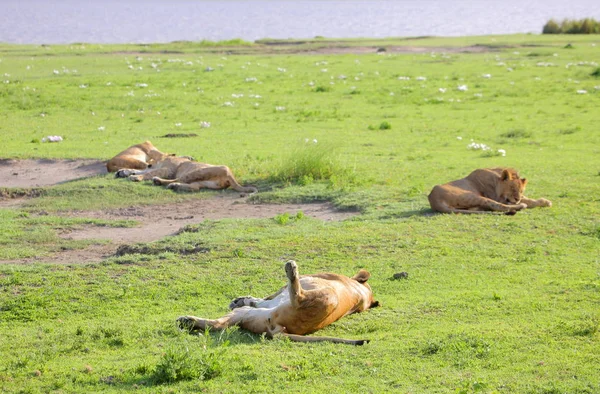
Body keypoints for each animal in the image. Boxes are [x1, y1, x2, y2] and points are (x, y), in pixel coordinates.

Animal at [115, 154, 258, 194]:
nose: (148, 164)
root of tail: (230, 176)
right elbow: (144, 170)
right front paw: (122, 172)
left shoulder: (168, 170)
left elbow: (148, 173)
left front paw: (134, 176)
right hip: (205, 182)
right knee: (195, 187)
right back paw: (174, 186)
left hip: (196, 172)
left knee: (178, 179)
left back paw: (159, 181)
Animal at [176, 262, 380, 344]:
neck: (362, 293)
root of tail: (281, 329)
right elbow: (265, 299)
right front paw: (241, 299)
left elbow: (271, 295)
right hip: (246, 315)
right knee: (219, 324)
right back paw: (187, 321)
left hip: (329, 296)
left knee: (297, 295)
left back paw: (292, 269)